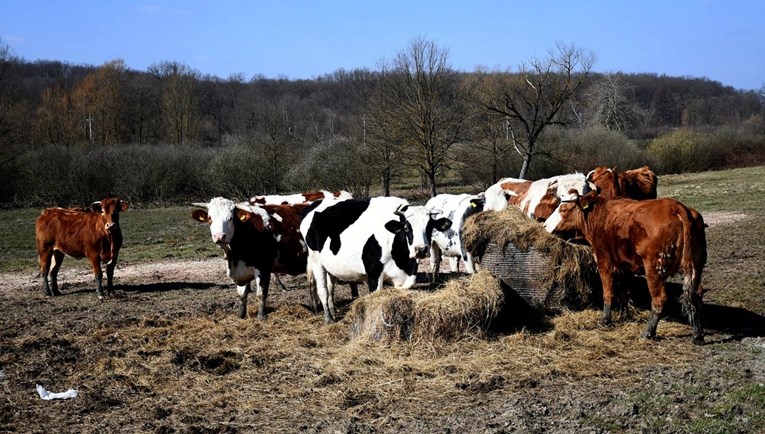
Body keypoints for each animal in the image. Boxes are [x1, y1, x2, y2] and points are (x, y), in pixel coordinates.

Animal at [302, 197, 450, 322]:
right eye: (406, 227)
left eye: (430, 227)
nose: (421, 249)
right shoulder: (373, 272)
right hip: (316, 261)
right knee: (323, 290)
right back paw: (328, 319)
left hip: (331, 266)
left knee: (330, 286)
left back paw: (333, 312)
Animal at [544, 192, 704, 344]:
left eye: (563, 209)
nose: (544, 225)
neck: (598, 214)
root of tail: (677, 207)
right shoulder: (624, 266)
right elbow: (623, 291)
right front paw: (624, 315)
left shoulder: (604, 262)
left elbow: (608, 292)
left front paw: (605, 319)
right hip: (696, 267)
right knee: (695, 295)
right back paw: (697, 335)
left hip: (655, 269)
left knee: (659, 299)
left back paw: (648, 333)